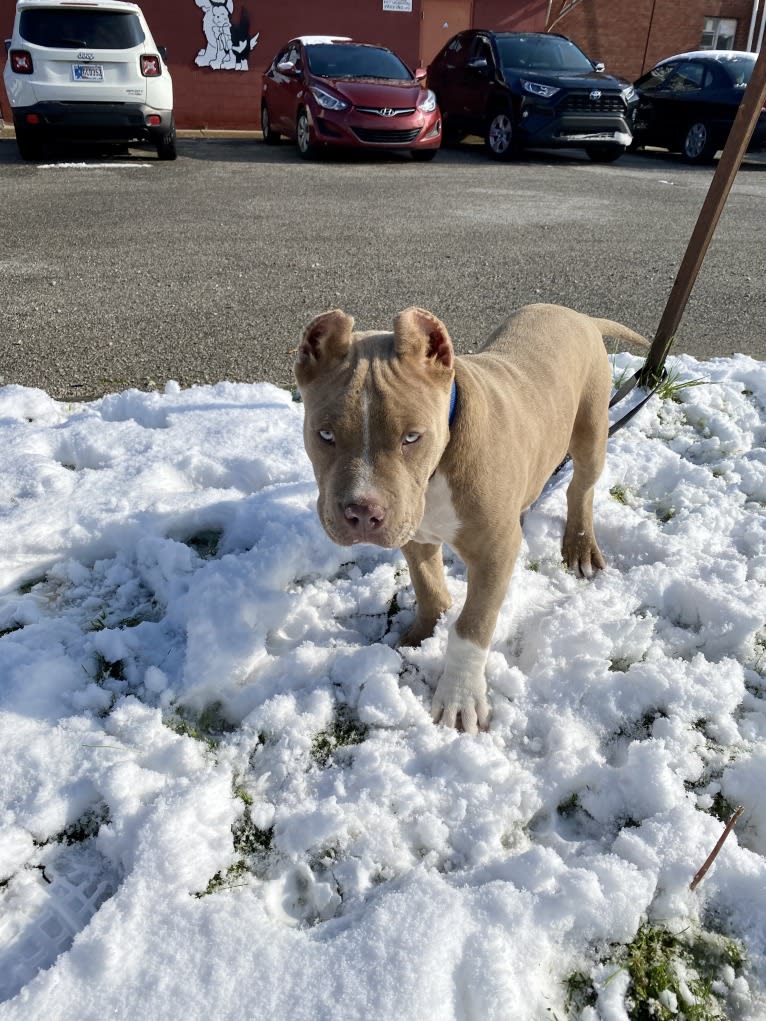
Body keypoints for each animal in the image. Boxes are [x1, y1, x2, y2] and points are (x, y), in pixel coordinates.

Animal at [294, 302, 649, 735]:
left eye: (412, 437)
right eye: (325, 435)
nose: (362, 512)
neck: (437, 468)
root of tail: (577, 315)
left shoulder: (495, 551)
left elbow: (472, 626)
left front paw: (459, 698)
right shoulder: (414, 532)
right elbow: (428, 586)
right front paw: (421, 635)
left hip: (591, 427)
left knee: (580, 488)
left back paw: (579, 544)